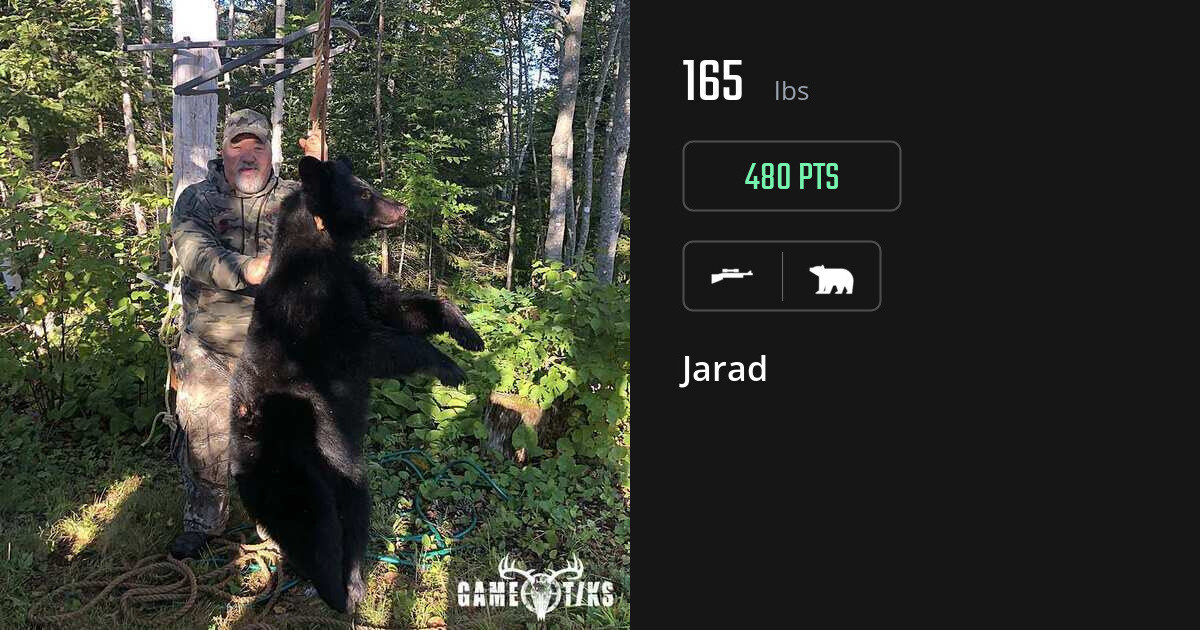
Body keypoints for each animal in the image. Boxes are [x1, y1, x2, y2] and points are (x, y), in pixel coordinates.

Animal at [228, 155, 483, 614]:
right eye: (364, 192)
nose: (402, 208)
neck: (323, 249)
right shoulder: (313, 313)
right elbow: (372, 344)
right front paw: (448, 366)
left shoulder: (355, 281)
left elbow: (399, 306)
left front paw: (466, 332)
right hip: (292, 469)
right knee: (315, 528)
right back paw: (339, 592)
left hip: (338, 474)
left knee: (349, 511)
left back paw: (350, 579)